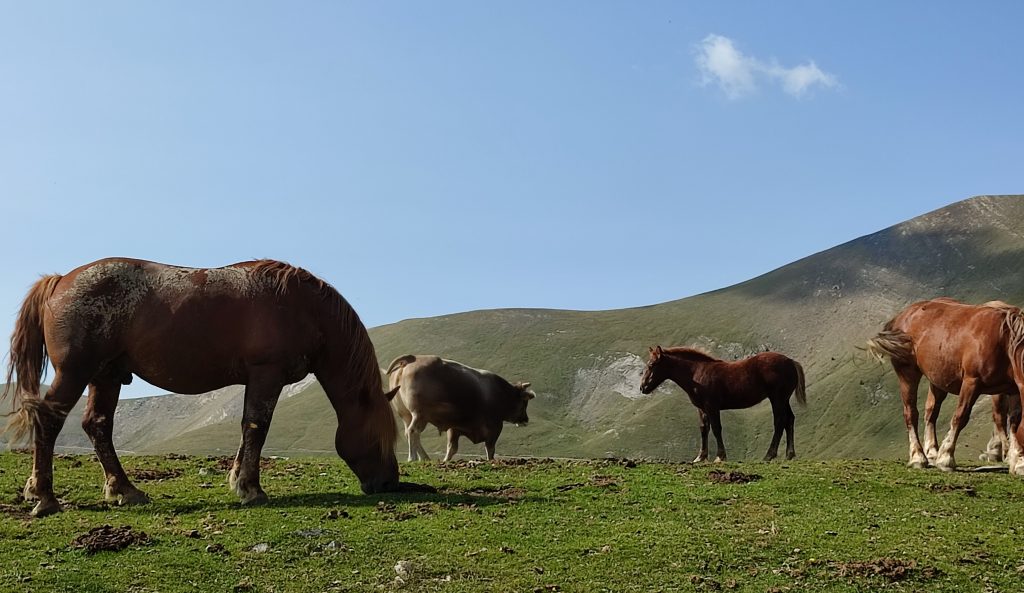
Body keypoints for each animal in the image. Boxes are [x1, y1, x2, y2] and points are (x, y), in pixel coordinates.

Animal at [3, 258, 400, 517]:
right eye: (379, 436)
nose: (389, 483)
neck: (303, 307)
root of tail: (60, 280)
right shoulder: (266, 375)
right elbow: (257, 427)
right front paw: (252, 488)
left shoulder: (255, 380)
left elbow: (247, 430)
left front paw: (238, 479)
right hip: (75, 373)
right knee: (49, 421)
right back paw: (45, 496)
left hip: (107, 376)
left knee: (97, 425)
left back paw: (124, 490)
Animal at [385, 355, 535, 462]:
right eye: (524, 403)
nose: (526, 419)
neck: (500, 393)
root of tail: (413, 358)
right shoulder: (495, 428)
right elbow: (490, 450)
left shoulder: (454, 428)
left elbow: (452, 449)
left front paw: (445, 461)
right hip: (419, 414)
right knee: (413, 432)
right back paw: (413, 458)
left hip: (407, 415)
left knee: (410, 433)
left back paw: (425, 458)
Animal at [639, 346, 807, 463]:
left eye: (652, 364)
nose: (643, 388)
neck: (697, 372)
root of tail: (791, 362)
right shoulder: (702, 408)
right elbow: (703, 429)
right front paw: (701, 457)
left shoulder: (712, 407)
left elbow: (716, 429)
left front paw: (720, 457)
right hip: (784, 399)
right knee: (789, 420)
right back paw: (789, 455)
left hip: (777, 398)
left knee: (779, 422)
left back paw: (769, 455)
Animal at [866, 298, 1024, 472]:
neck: (1005, 341)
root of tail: (903, 315)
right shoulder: (972, 382)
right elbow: (961, 417)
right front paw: (946, 458)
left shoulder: (1014, 389)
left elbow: (1015, 422)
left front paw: (1018, 461)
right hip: (907, 373)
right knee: (910, 413)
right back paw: (918, 457)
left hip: (937, 381)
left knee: (931, 412)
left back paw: (932, 453)